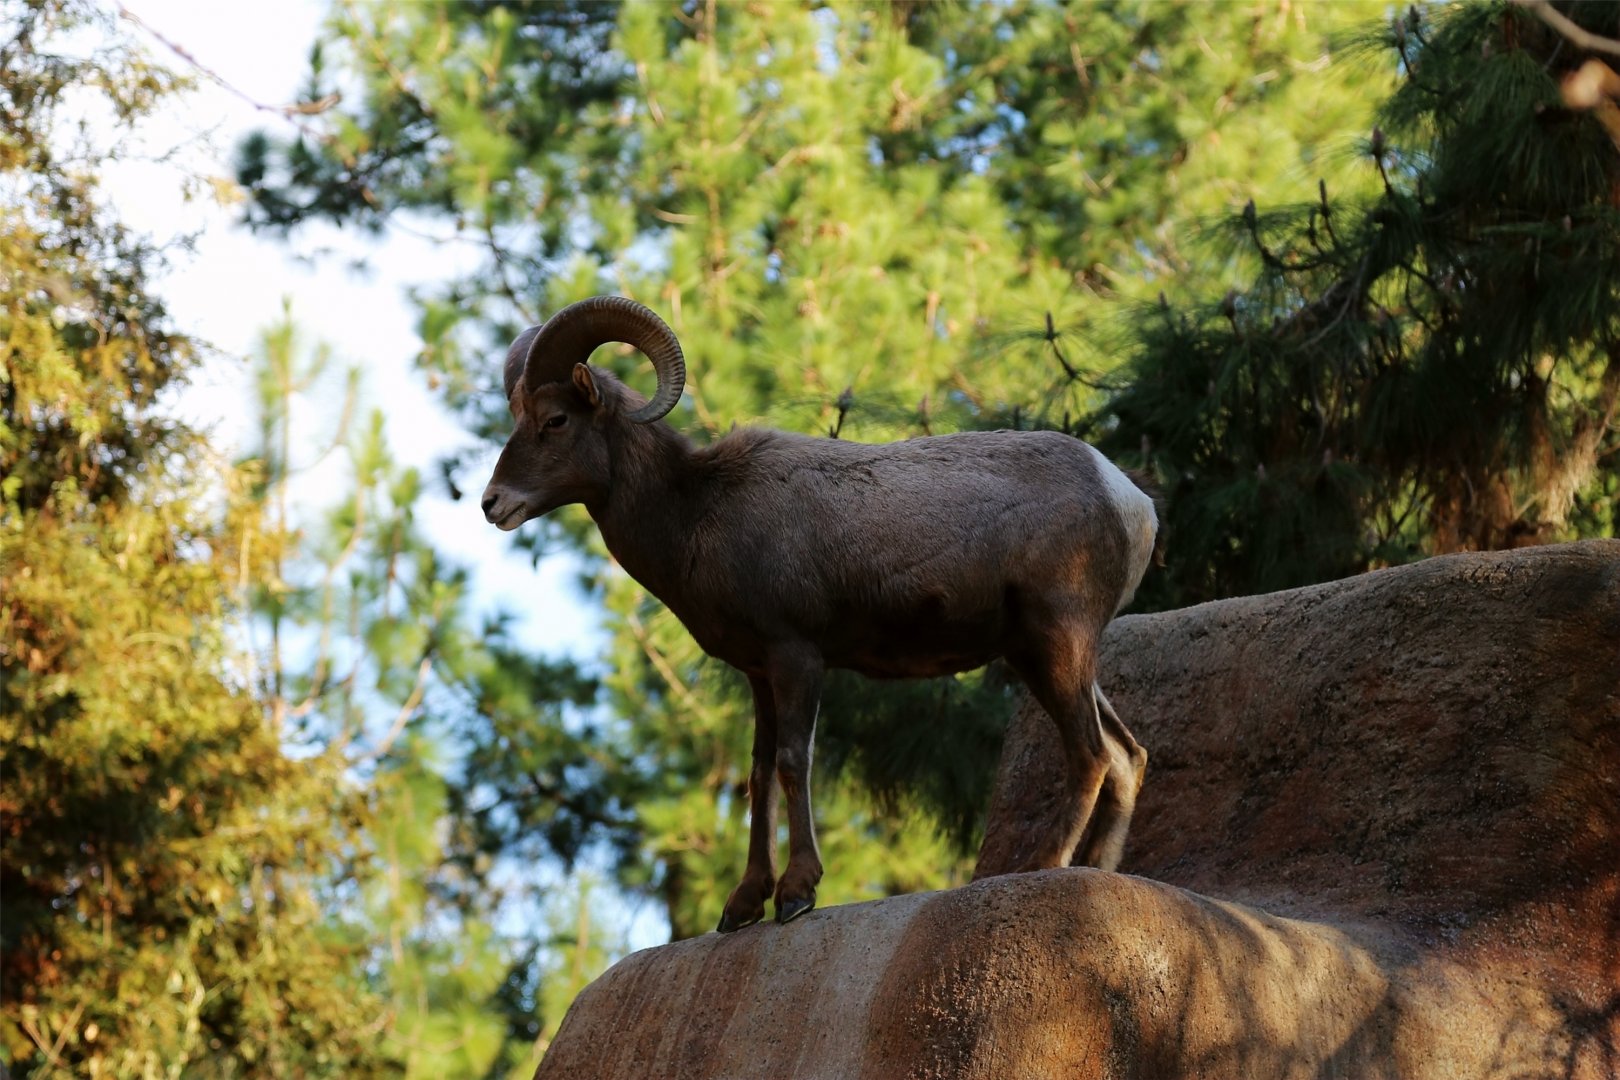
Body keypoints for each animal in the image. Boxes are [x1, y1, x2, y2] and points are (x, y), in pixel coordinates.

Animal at [481, 295, 1158, 932]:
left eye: (555, 419)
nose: (493, 504)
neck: (697, 510)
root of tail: (1132, 502)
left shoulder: (797, 658)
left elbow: (792, 763)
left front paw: (796, 895)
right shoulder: (758, 674)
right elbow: (758, 775)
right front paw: (742, 905)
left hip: (1056, 643)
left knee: (1092, 755)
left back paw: (1045, 867)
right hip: (1043, 657)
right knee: (1126, 756)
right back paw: (1099, 872)